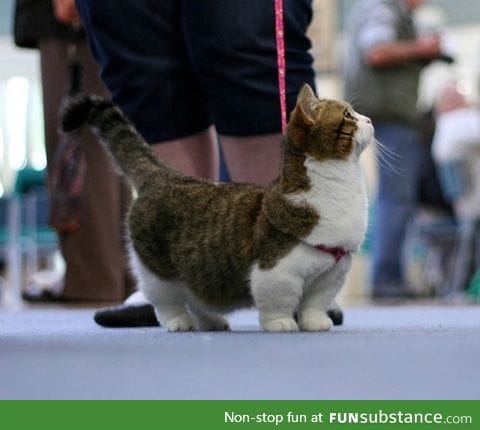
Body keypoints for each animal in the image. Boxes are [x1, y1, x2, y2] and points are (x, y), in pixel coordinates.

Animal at [61, 84, 376, 332]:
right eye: (348, 115)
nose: (370, 119)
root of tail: (165, 176)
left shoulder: (331, 273)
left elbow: (315, 303)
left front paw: (315, 322)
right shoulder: (276, 271)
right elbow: (279, 302)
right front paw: (281, 323)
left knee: (195, 296)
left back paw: (211, 321)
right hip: (156, 271)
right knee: (167, 301)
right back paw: (179, 322)